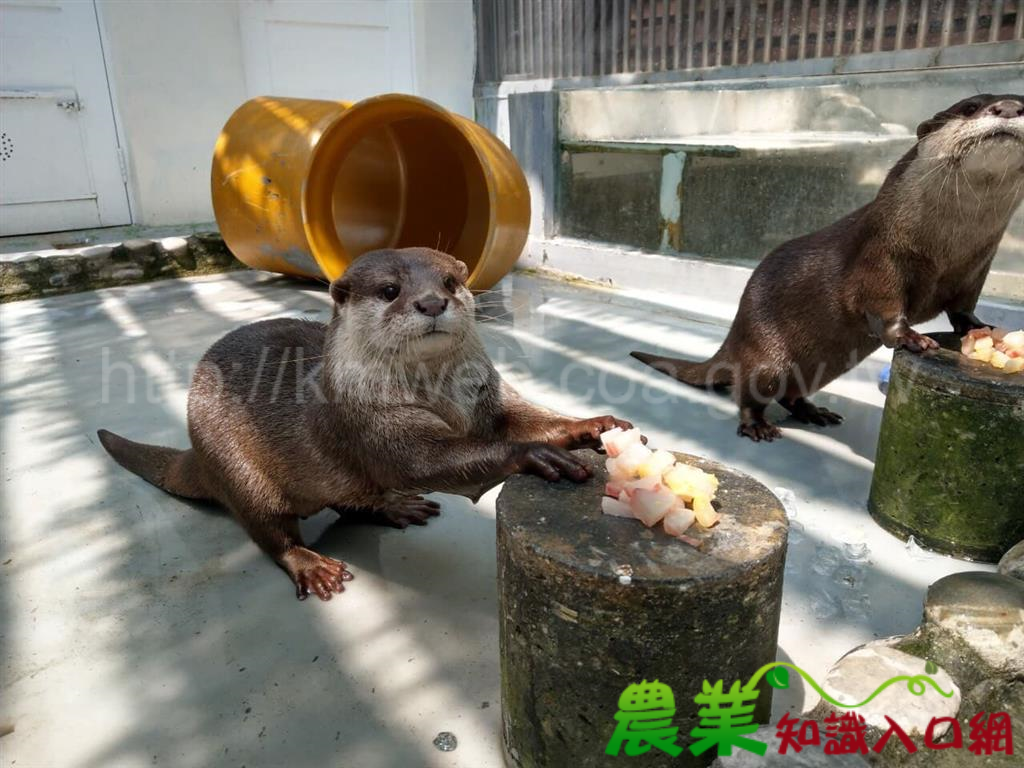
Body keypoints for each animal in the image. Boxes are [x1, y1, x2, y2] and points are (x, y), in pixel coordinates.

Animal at [99, 249, 634, 606]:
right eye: (390, 290)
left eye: (449, 281)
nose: (432, 302)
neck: (438, 393)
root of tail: (196, 449)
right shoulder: (371, 419)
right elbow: (427, 460)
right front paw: (532, 456)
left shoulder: (487, 396)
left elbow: (526, 418)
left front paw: (593, 426)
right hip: (236, 466)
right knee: (269, 530)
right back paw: (313, 566)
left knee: (350, 499)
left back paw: (396, 507)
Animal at [630, 95, 1024, 442]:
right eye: (970, 107)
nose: (1009, 107)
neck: (944, 248)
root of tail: (736, 334)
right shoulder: (880, 257)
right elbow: (883, 306)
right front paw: (912, 337)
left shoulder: (976, 266)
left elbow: (963, 307)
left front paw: (982, 329)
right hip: (767, 354)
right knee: (751, 391)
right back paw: (758, 426)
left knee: (791, 393)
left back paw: (815, 412)